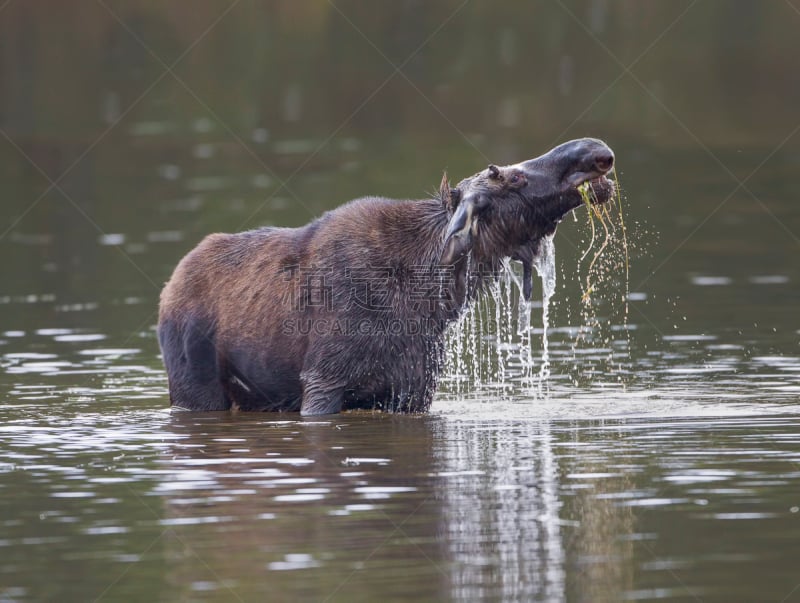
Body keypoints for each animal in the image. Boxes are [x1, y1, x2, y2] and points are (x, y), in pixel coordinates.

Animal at [159, 139, 616, 418]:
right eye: (514, 177)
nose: (598, 153)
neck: (429, 299)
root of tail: (169, 286)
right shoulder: (322, 380)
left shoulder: (414, 391)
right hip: (193, 385)